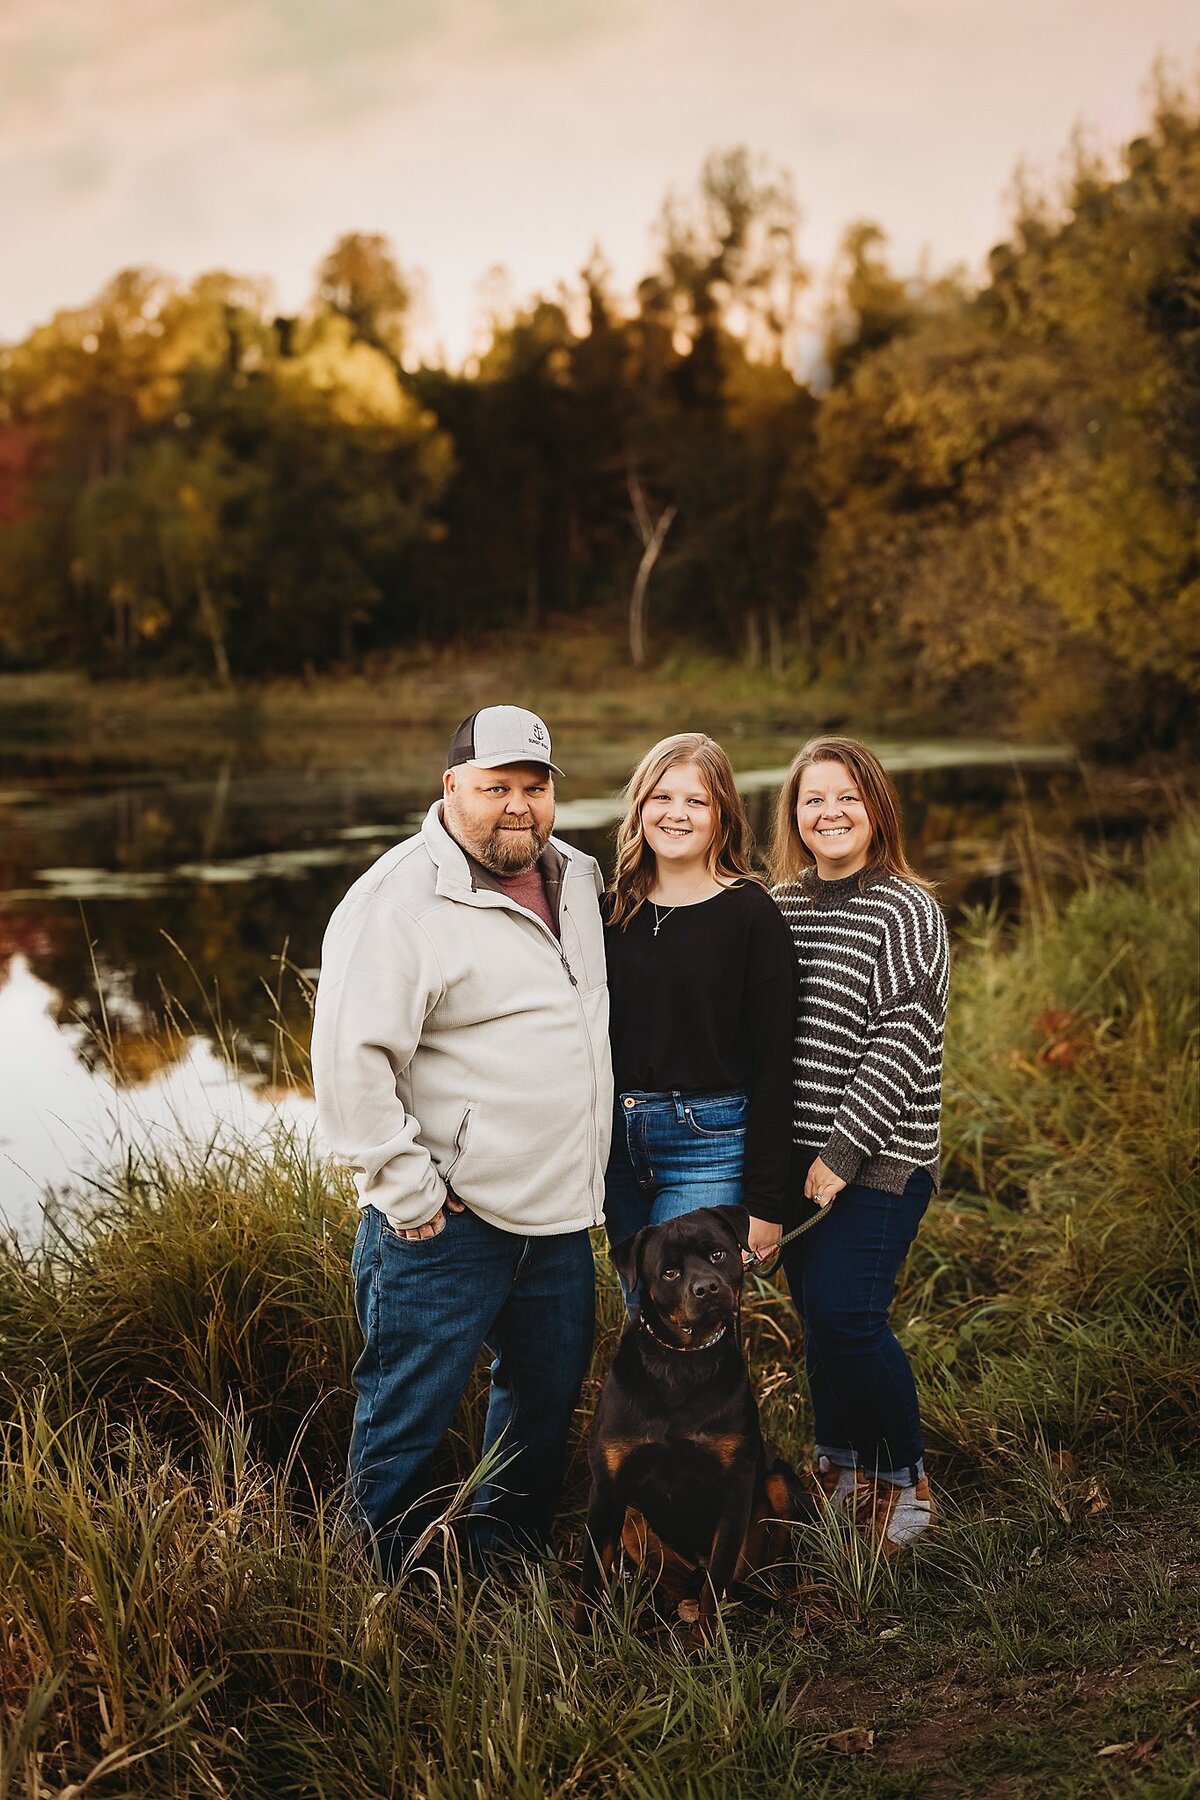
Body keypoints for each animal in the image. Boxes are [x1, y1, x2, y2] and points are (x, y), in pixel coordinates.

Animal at [572, 1202, 805, 1641]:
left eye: (717, 1254)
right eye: (669, 1272)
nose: (708, 1288)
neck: (682, 1364)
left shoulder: (736, 1484)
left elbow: (717, 1581)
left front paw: (709, 1647)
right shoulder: (608, 1486)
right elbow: (591, 1573)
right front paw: (581, 1640)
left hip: (779, 1481)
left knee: (744, 1575)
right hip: (632, 1518)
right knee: (679, 1583)